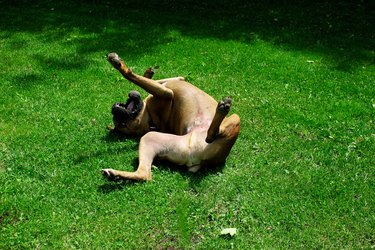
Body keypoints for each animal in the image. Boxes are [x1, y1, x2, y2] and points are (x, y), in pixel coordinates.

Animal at [101, 52, 241, 182]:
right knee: (211, 135)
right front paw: (118, 63)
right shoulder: (166, 93)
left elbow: (150, 80)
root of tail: (200, 161)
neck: (150, 118)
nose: (115, 111)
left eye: (122, 124)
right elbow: (132, 75)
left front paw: (148, 73)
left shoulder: (171, 84)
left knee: (145, 174)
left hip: (151, 140)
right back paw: (222, 110)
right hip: (235, 118)